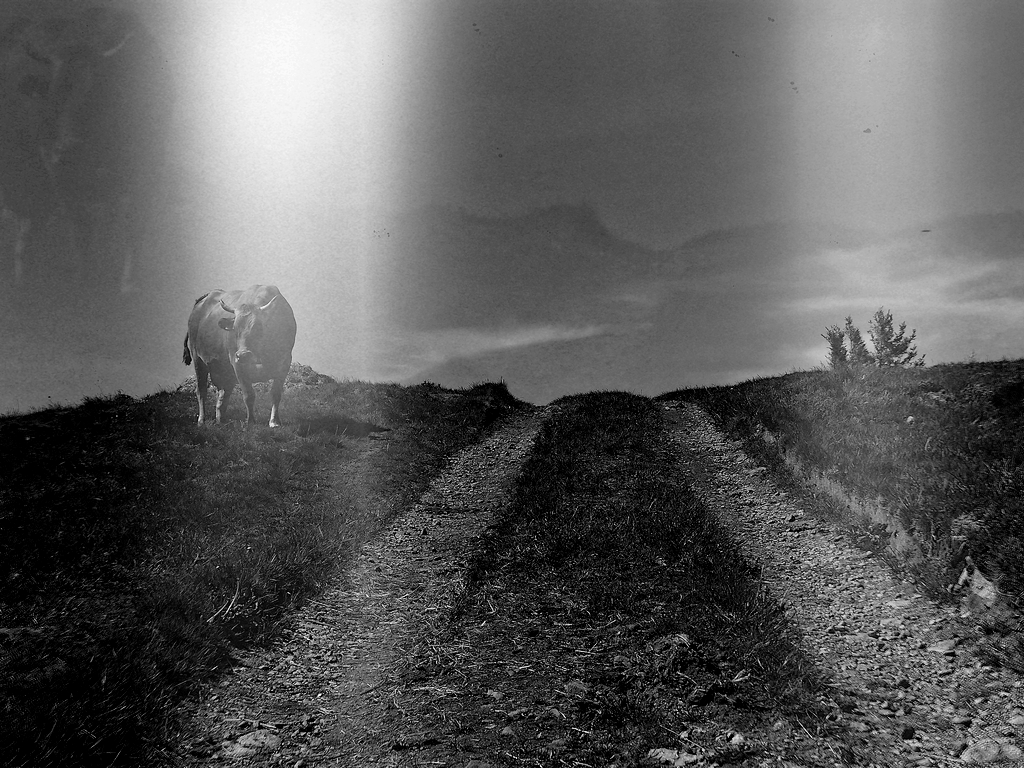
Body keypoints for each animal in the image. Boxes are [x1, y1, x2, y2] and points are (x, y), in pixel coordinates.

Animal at [183, 286, 299, 428]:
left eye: (258, 327)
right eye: (235, 328)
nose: (243, 354)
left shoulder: (285, 362)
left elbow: (276, 393)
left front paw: (274, 421)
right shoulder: (237, 364)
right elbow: (249, 395)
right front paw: (251, 422)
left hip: (224, 371)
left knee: (223, 395)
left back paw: (221, 420)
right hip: (198, 360)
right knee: (201, 391)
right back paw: (202, 420)